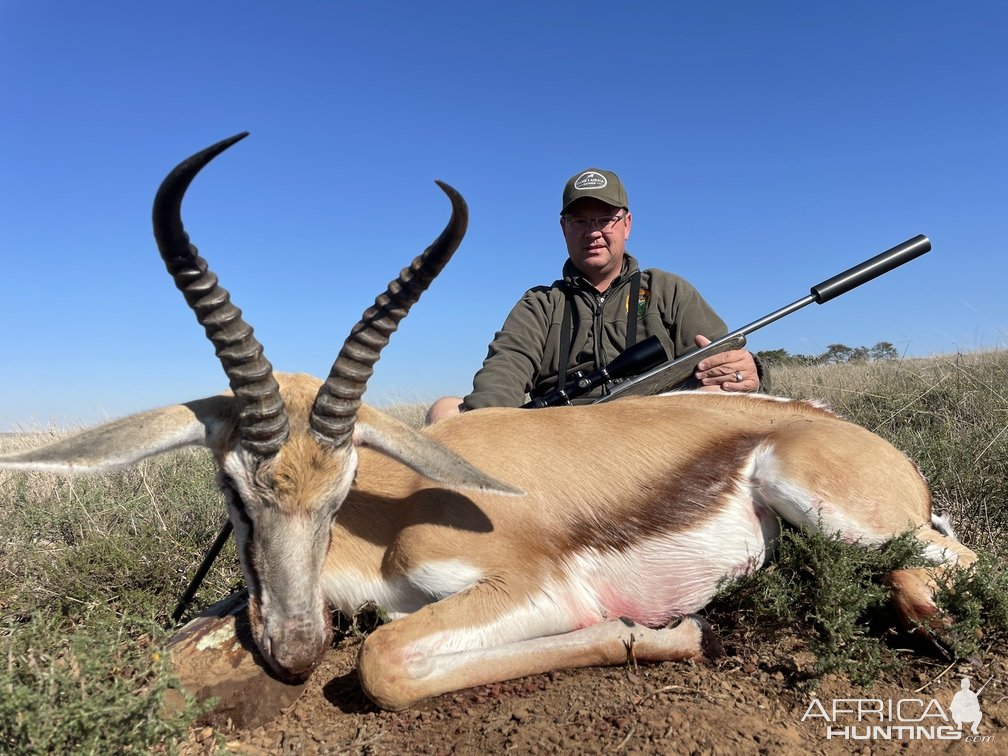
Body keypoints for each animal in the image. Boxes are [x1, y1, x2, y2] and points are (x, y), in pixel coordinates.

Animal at [0, 135, 975, 709]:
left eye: (342, 490)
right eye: (233, 492)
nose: (295, 650)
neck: (390, 518)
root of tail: (844, 431)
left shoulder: (531, 585)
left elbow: (385, 662)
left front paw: (669, 632)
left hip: (835, 509)